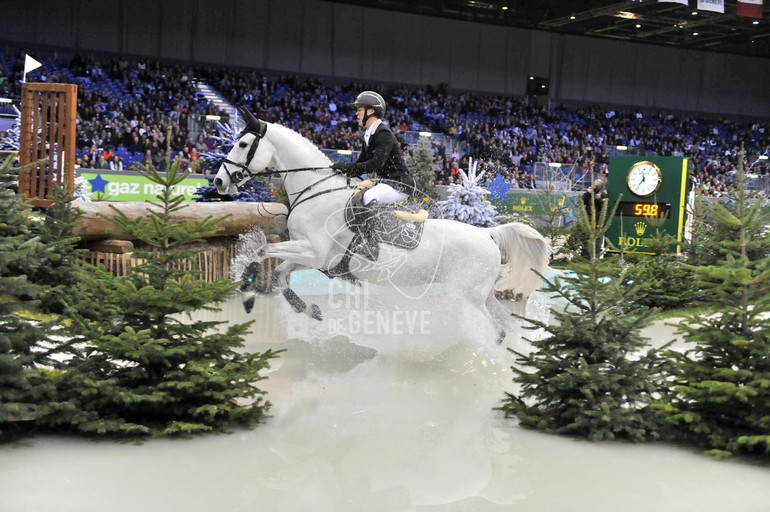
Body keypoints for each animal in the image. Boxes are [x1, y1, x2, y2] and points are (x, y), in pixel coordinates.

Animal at [212, 110, 544, 346]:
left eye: (243, 144)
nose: (219, 181)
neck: (315, 190)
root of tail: (487, 233)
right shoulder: (314, 256)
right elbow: (280, 273)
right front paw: (309, 310)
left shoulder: (315, 252)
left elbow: (263, 250)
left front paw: (247, 285)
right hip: (482, 295)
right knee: (507, 326)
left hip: (465, 297)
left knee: (495, 331)